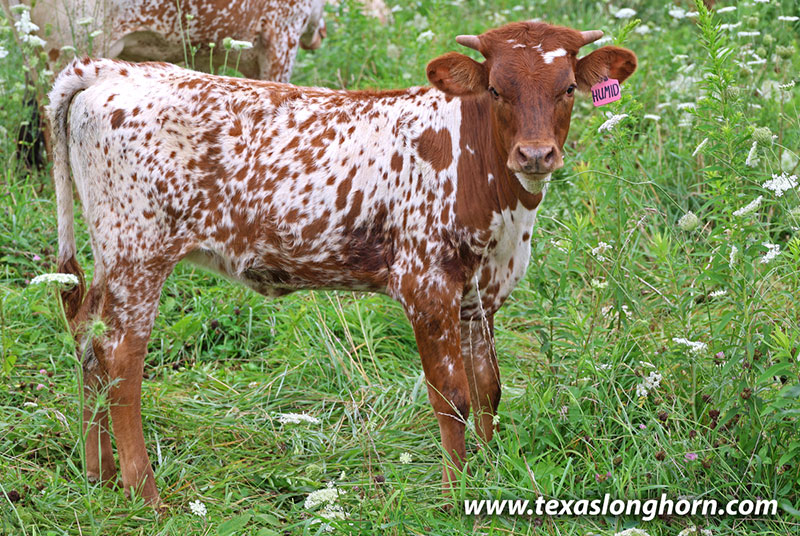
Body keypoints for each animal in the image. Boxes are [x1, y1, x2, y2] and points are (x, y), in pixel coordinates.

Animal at [47, 21, 636, 505]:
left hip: (113, 259)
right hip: (138, 254)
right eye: (496, 89)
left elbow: (488, 387)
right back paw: (144, 493)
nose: (535, 155)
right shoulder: (427, 286)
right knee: (121, 363)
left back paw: (99, 474)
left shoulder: (481, 294)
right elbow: (452, 396)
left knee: (88, 339)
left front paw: (490, 476)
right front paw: (456, 493)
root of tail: (114, 69)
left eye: (567, 89)